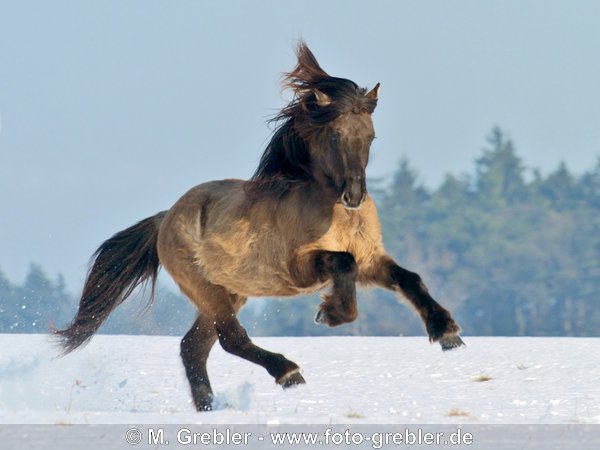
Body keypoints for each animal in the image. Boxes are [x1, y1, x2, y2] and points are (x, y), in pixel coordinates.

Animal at [55, 41, 464, 412]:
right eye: (335, 135)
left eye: (371, 136)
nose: (354, 196)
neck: (331, 211)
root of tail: (165, 218)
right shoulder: (301, 267)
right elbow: (342, 265)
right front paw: (329, 313)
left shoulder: (370, 259)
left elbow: (409, 278)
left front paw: (447, 333)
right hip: (209, 291)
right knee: (229, 338)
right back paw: (288, 373)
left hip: (229, 292)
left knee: (193, 346)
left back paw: (210, 407)